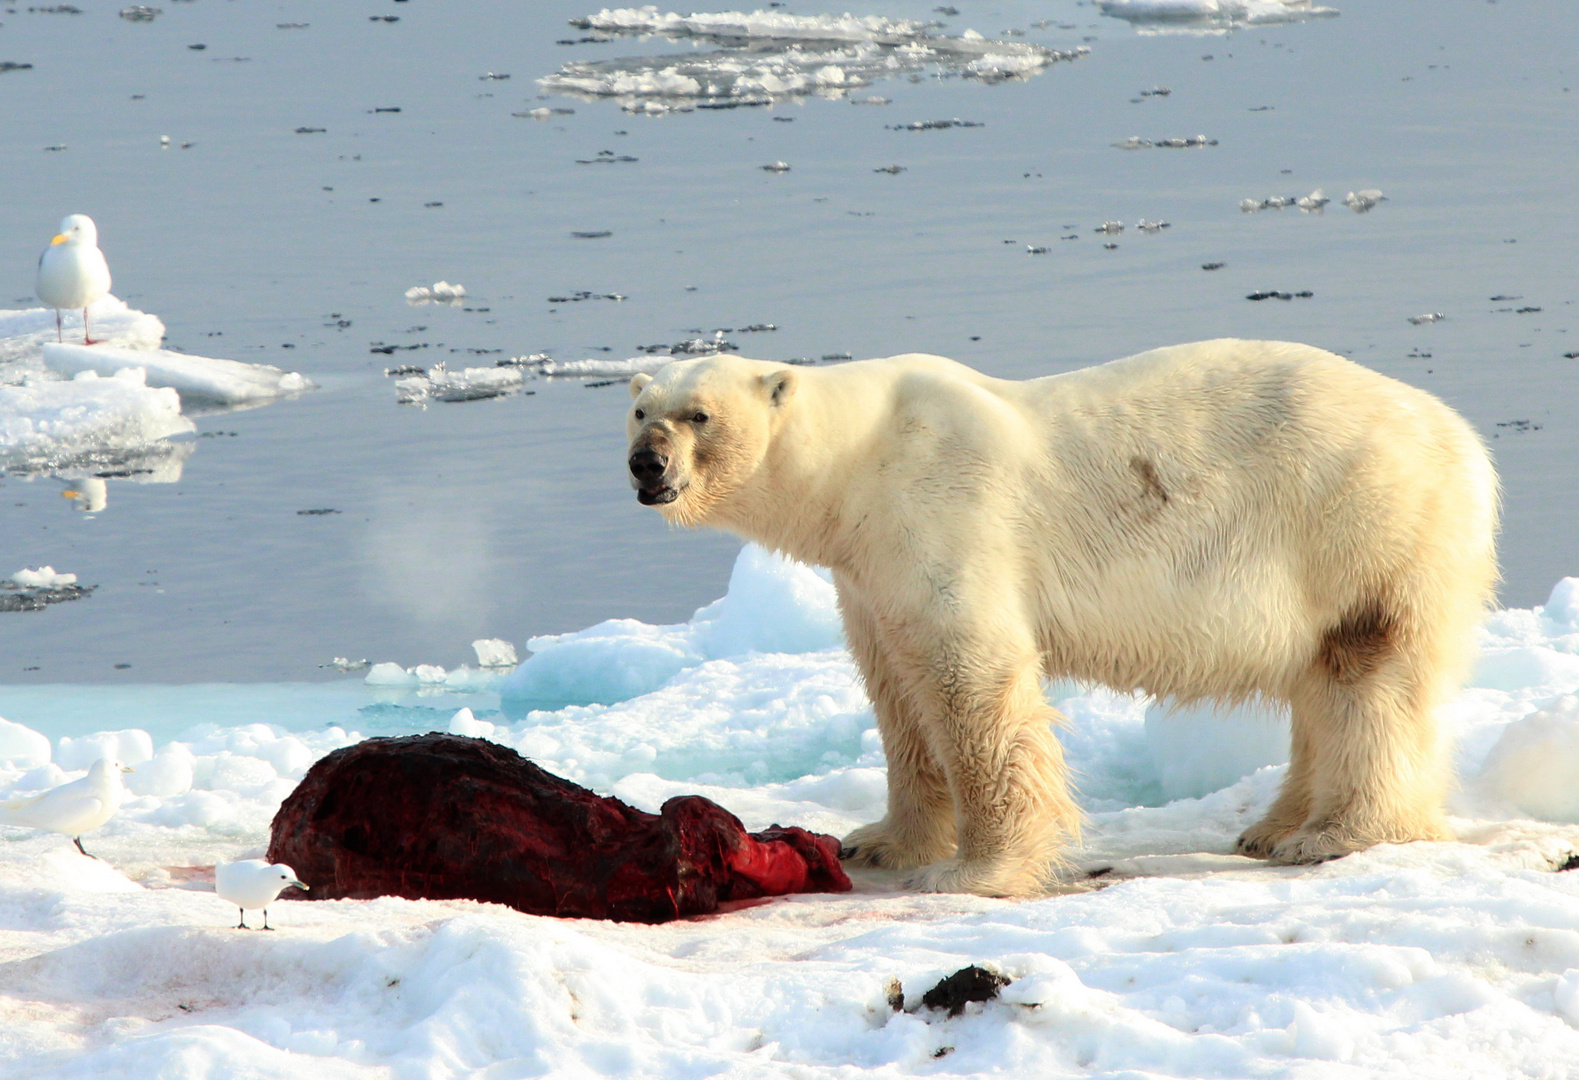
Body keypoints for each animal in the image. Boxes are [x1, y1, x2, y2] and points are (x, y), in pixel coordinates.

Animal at [625, 341, 1490, 896]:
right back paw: (1271, 828)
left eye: (698, 414)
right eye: (638, 409)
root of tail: (1464, 442)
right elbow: (896, 693)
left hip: (1359, 522)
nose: (646, 463)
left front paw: (969, 871)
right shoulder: (866, 570)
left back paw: (1333, 834)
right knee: (1317, 683)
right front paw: (877, 840)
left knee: (1362, 673)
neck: (857, 461)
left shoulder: (943, 514)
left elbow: (970, 683)